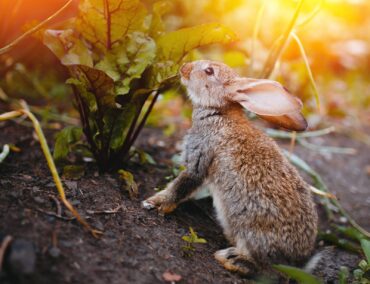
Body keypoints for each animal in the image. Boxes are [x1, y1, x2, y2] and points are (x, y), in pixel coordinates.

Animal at [142, 60, 318, 276]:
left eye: (209, 71)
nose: (184, 68)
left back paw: (230, 259)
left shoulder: (199, 159)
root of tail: (297, 263)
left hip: (251, 232)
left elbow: (181, 186)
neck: (218, 111)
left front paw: (153, 202)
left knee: (262, 267)